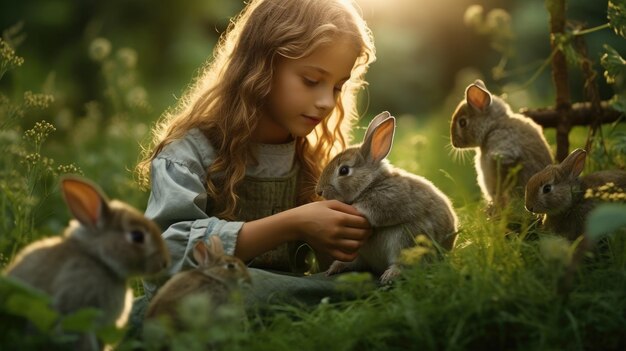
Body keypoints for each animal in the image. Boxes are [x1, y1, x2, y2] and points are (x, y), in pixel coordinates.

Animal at [314, 111, 456, 284]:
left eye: (344, 170)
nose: (319, 192)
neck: (370, 184)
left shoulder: (387, 199)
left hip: (406, 239)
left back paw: (390, 275)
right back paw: (336, 267)